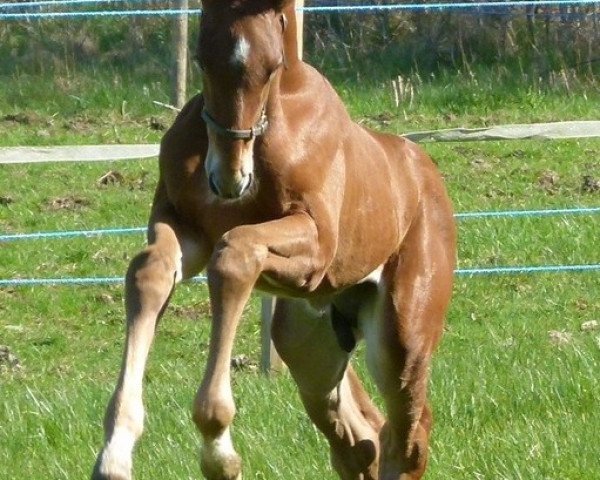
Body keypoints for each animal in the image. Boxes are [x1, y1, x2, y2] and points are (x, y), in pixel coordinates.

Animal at [90, 0, 454, 480]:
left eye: (273, 66)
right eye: (201, 59)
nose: (228, 178)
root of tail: (426, 171)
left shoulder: (316, 251)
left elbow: (235, 256)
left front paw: (218, 450)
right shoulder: (186, 230)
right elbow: (150, 271)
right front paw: (115, 454)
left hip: (401, 340)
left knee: (409, 434)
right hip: (310, 348)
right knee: (363, 437)